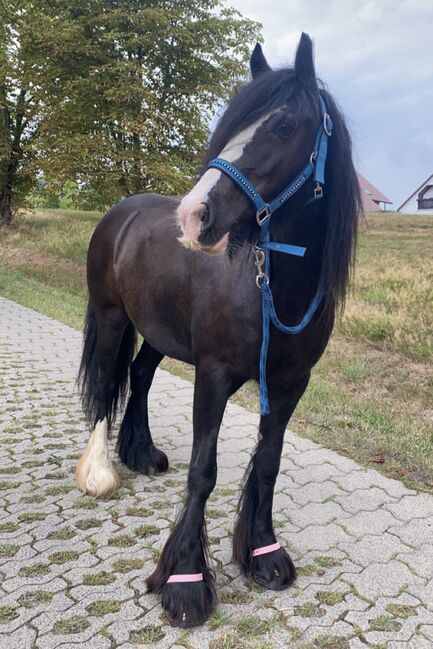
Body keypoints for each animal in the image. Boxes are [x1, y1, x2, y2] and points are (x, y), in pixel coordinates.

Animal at [76, 33, 360, 624]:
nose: (193, 215)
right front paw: (184, 579)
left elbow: (268, 464)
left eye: (283, 125)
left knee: (139, 376)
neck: (270, 288)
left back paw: (141, 453)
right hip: (112, 318)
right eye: (231, 125)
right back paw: (98, 471)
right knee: (105, 386)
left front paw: (264, 553)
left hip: (157, 334)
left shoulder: (291, 384)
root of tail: (121, 212)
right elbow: (202, 471)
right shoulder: (212, 377)